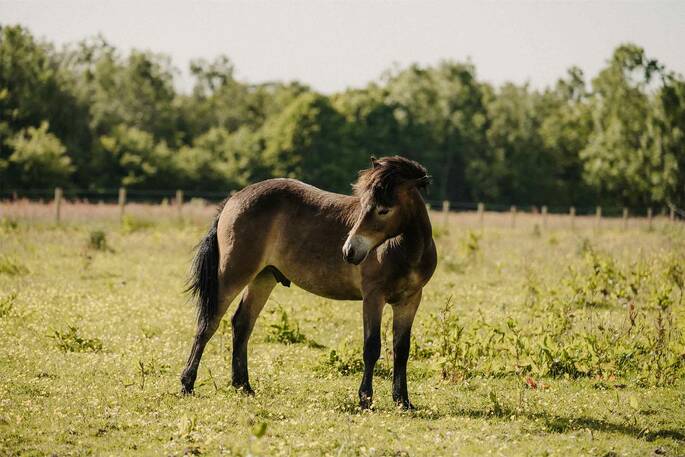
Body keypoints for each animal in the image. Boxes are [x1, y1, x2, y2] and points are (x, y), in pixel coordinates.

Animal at [181, 155, 437, 409]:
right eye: (363, 204)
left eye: (384, 210)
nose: (349, 251)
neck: (406, 251)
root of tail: (233, 199)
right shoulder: (373, 298)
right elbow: (372, 347)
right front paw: (365, 399)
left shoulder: (410, 301)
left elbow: (401, 349)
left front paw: (403, 400)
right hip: (234, 273)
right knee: (209, 322)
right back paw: (187, 384)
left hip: (263, 278)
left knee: (242, 323)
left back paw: (243, 386)